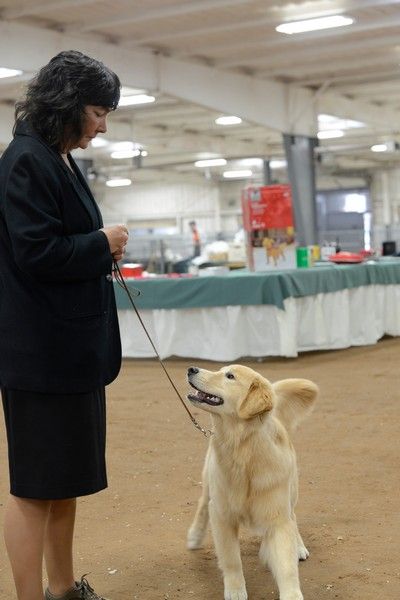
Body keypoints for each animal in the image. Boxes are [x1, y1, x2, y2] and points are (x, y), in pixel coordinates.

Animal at [186, 364, 318, 600]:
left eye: (230, 376)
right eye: (221, 370)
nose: (191, 368)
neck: (243, 451)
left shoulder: (277, 514)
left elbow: (286, 565)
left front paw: (292, 593)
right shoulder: (222, 514)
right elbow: (231, 559)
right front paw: (236, 590)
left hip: (291, 490)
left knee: (293, 516)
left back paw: (298, 546)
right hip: (209, 481)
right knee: (202, 505)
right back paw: (194, 536)